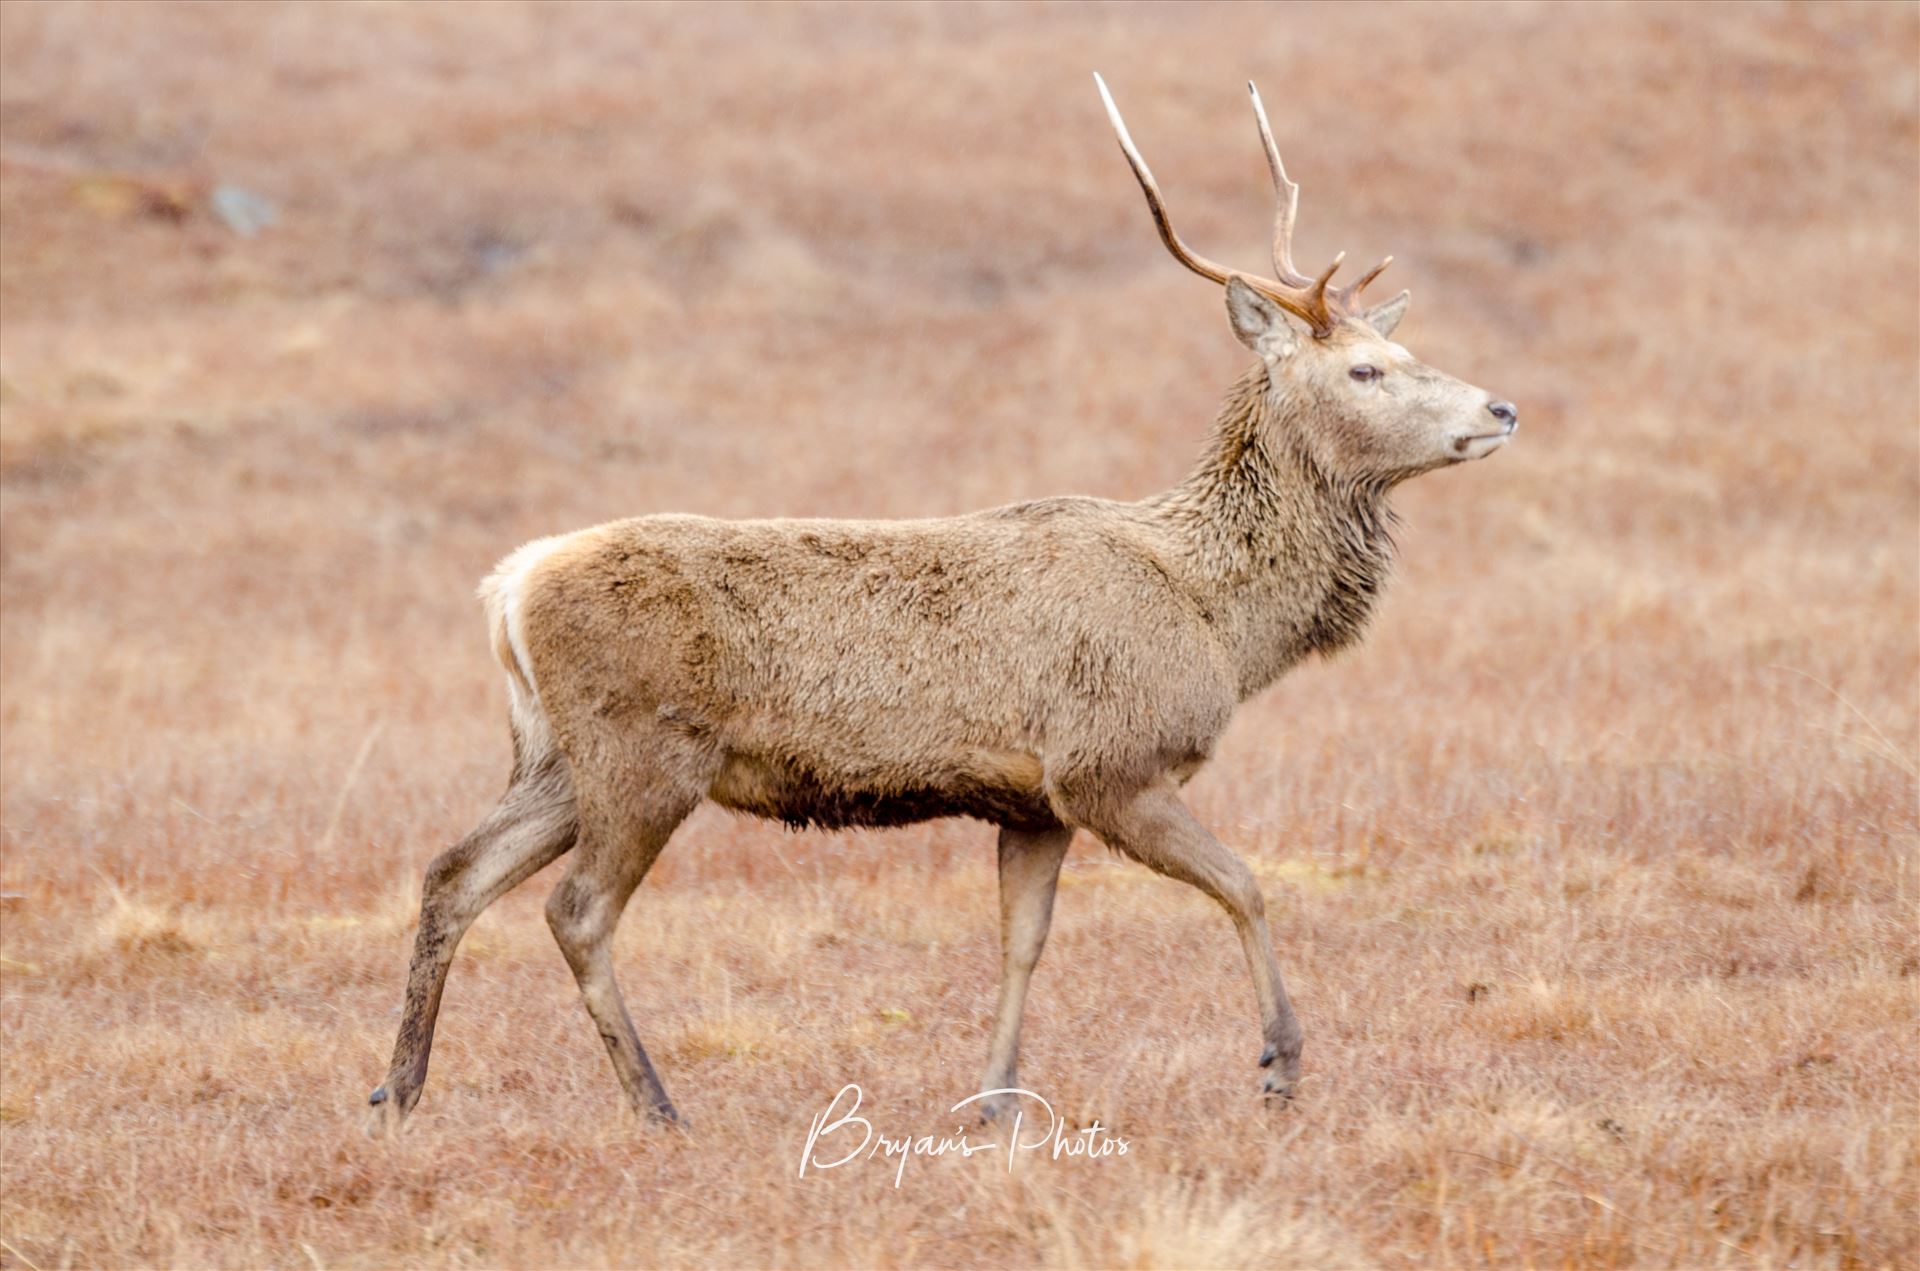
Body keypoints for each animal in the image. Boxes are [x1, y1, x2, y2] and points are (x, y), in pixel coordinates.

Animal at [366, 77, 1520, 1136]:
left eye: (1407, 352)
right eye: (1367, 369)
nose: (1502, 406)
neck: (1220, 621)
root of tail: (510, 584)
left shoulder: (1032, 800)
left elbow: (1023, 940)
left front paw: (995, 1100)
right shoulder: (1109, 761)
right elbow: (1247, 881)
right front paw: (1281, 1061)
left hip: (559, 756)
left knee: (453, 871)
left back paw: (397, 1091)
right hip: (643, 750)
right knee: (575, 910)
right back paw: (656, 1105)